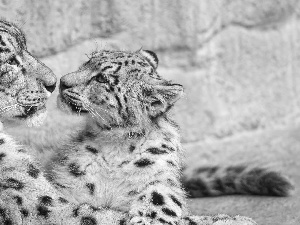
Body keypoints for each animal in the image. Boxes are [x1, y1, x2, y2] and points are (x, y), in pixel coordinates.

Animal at [45, 48, 256, 224]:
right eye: (87, 62)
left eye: (102, 79)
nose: (62, 82)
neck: (115, 146)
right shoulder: (65, 185)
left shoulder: (162, 175)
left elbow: (161, 194)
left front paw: (148, 219)